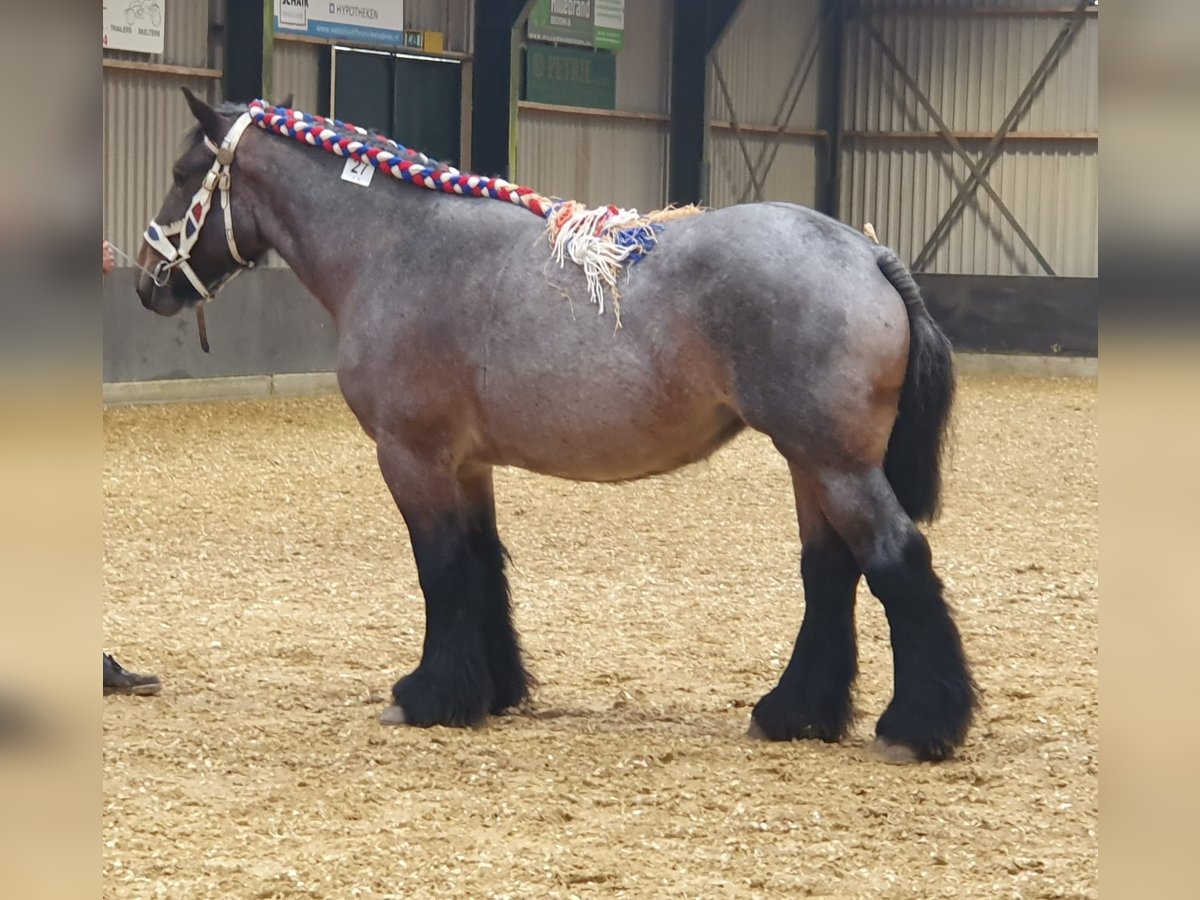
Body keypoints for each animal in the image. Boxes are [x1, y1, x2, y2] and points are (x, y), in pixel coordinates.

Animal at [136, 91, 974, 763]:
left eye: (182, 171)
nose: (147, 285)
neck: (397, 245)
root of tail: (866, 251)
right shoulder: (467, 464)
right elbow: (482, 565)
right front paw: (492, 690)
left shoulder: (412, 456)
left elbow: (440, 570)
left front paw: (429, 696)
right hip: (812, 461)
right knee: (830, 572)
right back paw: (795, 713)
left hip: (834, 462)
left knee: (896, 560)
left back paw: (916, 726)